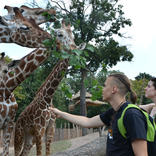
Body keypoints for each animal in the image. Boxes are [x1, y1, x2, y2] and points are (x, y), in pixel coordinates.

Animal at [13, 21, 85, 156]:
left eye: (73, 36)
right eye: (60, 34)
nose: (75, 48)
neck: (48, 98)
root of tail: (18, 119)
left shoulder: (50, 130)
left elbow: (48, 152)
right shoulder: (39, 130)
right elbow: (40, 153)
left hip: (29, 138)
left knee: (23, 153)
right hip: (19, 134)